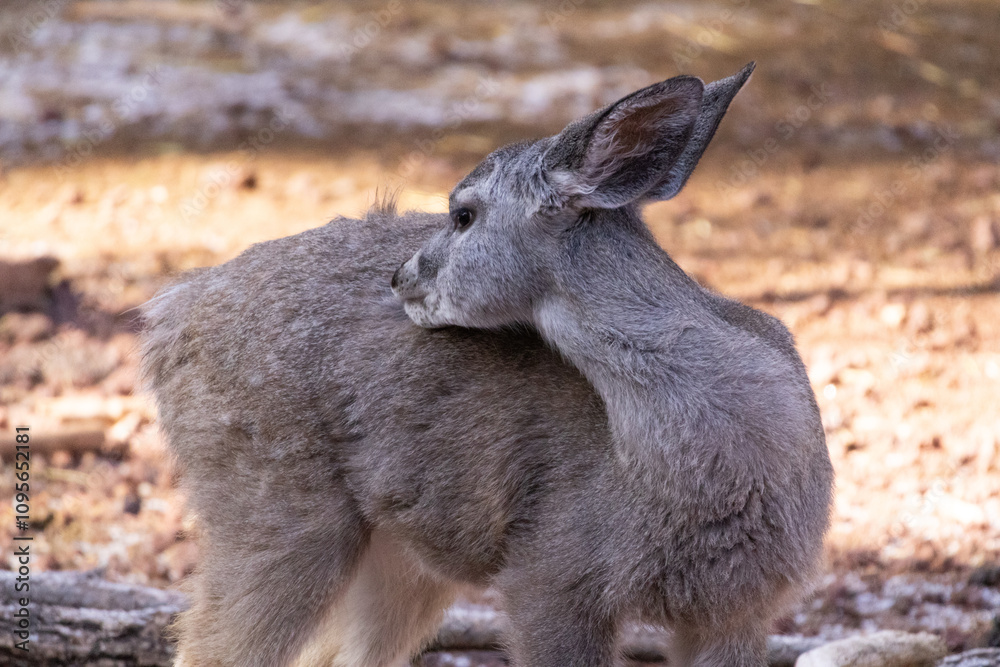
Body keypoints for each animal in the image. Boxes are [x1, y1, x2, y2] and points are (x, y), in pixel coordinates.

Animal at [142, 63, 833, 667]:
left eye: (463, 213)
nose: (398, 277)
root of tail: (167, 313)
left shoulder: (738, 606)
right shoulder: (550, 572)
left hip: (400, 549)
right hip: (273, 507)